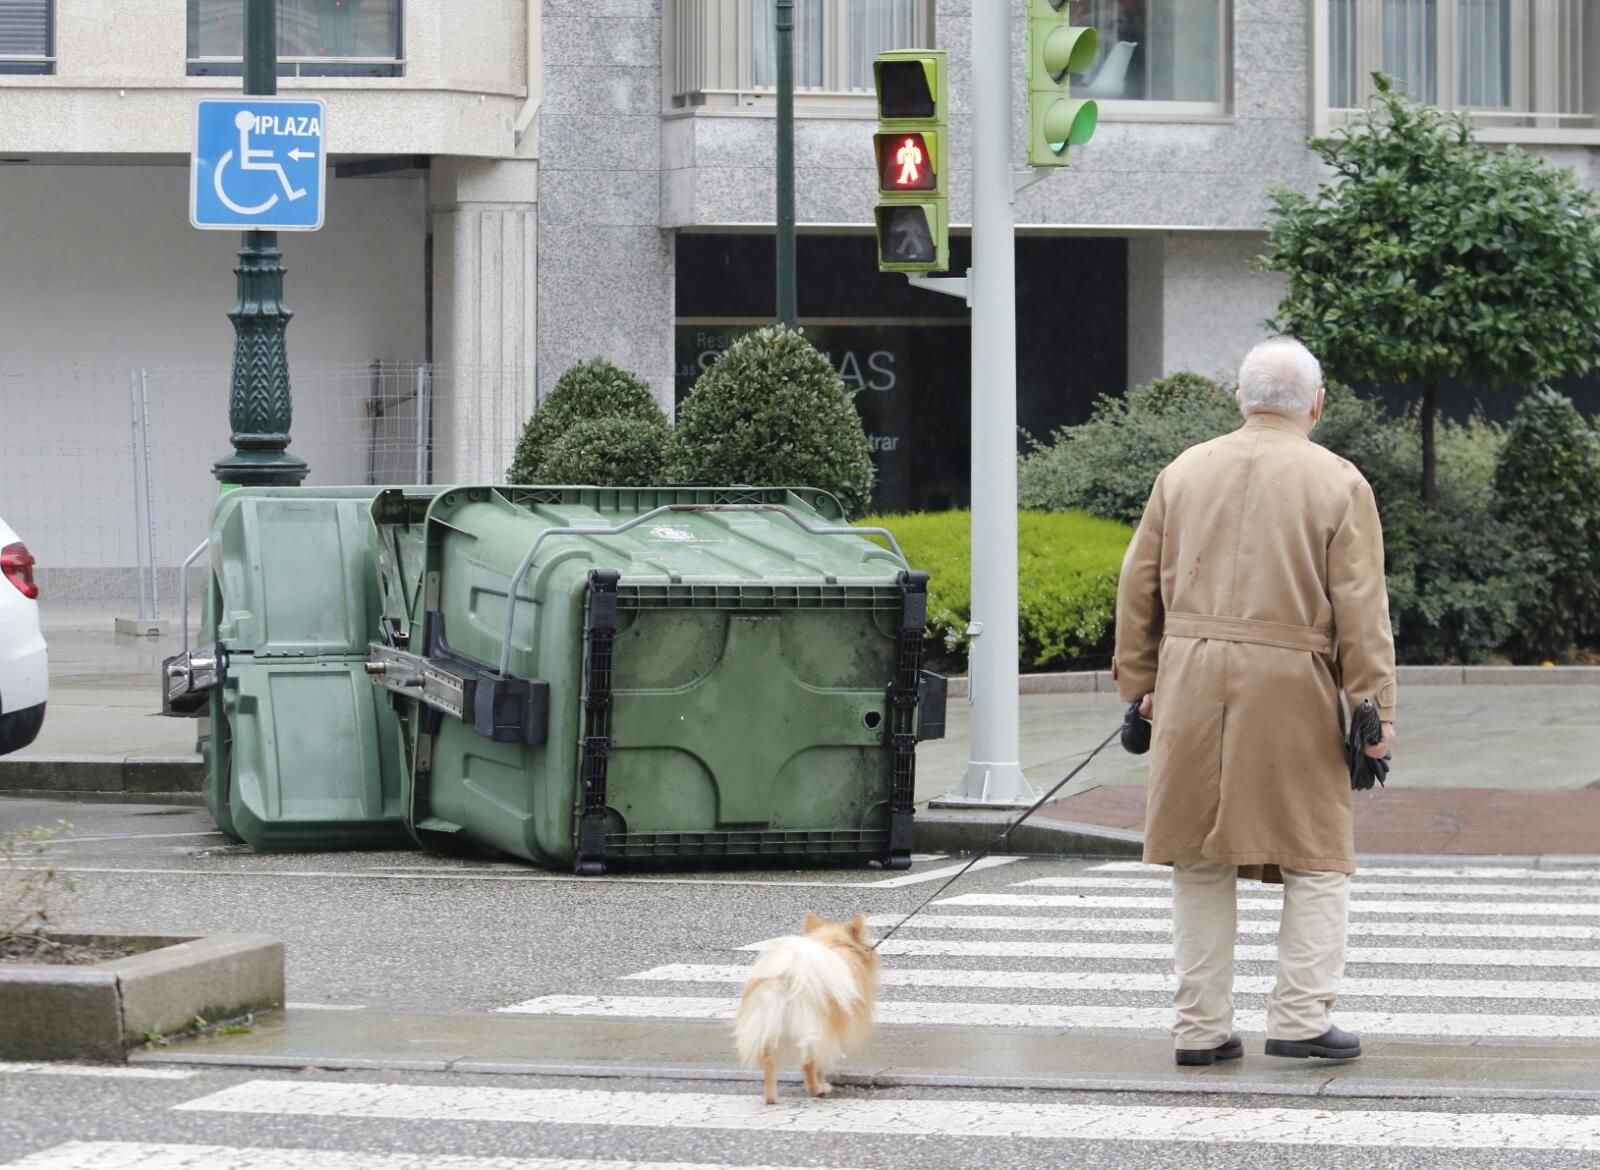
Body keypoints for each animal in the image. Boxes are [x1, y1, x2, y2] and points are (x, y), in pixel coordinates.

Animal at [732, 915, 883, 1107]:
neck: (835, 942)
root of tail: (790, 976)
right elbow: (821, 1064)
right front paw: (822, 1082)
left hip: (769, 1025)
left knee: (769, 1062)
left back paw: (771, 1098)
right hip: (814, 1027)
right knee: (809, 1062)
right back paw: (817, 1089)